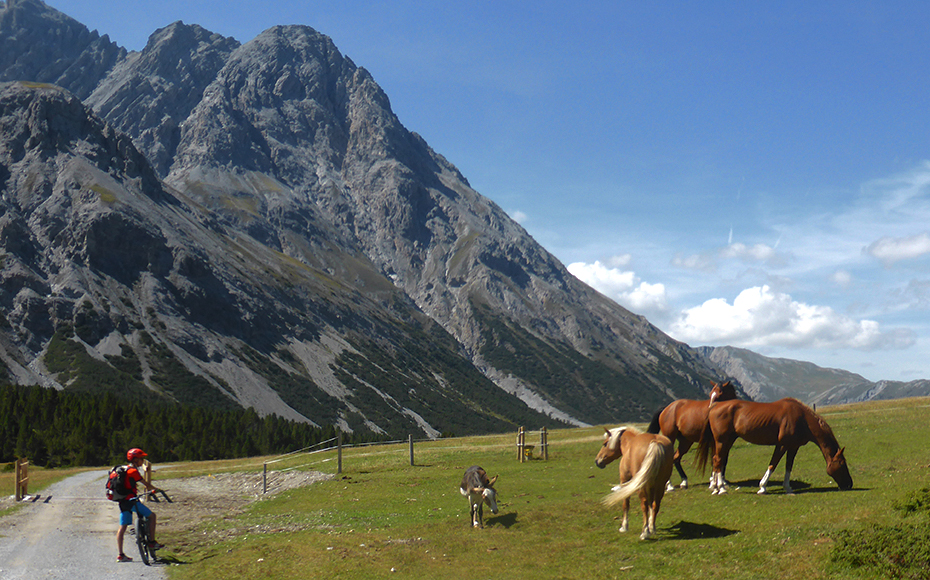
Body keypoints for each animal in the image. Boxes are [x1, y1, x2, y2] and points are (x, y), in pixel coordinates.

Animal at [692, 398, 852, 494]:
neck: (802, 419)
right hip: (721, 440)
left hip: (727, 440)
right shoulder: (781, 445)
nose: (849, 484)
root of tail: (714, 406)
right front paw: (762, 487)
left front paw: (788, 488)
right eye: (842, 464)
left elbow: (788, 466)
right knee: (718, 460)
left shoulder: (793, 447)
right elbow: (773, 464)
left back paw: (716, 486)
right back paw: (721, 488)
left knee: (716, 460)